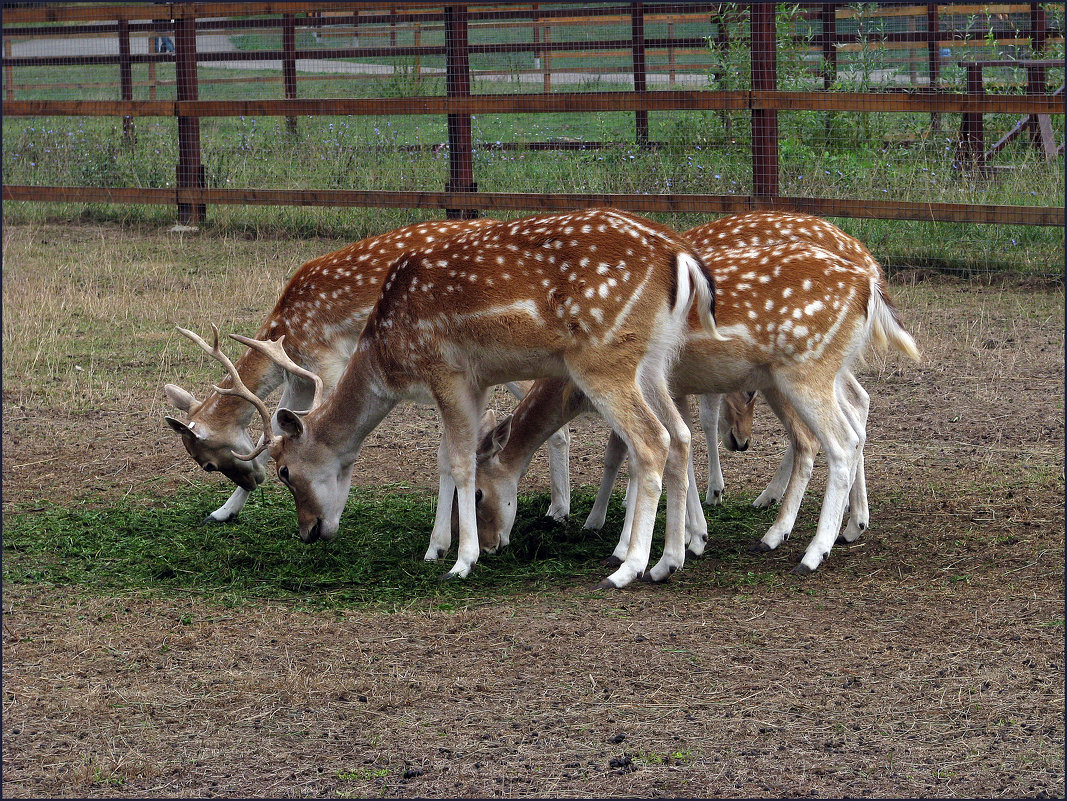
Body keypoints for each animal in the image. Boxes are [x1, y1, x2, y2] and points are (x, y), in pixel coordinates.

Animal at [162, 216, 576, 539]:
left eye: (206, 463)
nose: (254, 481)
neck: (284, 334)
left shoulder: (325, 363)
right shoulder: (299, 377)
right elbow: (276, 427)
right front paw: (223, 512)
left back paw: (559, 510)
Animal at [471, 216, 921, 571]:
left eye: (477, 494)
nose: (490, 545)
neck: (569, 386)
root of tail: (871, 277)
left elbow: (638, 453)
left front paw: (617, 538)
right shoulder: (672, 389)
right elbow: (663, 448)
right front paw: (689, 534)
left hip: (800, 373)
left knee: (829, 438)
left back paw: (803, 543)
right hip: (823, 370)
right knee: (855, 412)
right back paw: (848, 525)